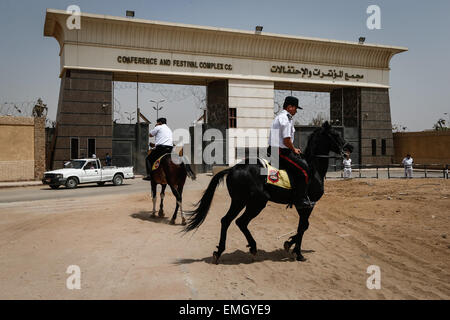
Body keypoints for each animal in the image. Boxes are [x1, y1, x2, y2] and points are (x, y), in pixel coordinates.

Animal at [185, 121, 354, 264]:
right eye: (335, 134)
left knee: (226, 221)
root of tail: (233, 168)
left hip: (239, 201)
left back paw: (220, 252)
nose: (350, 147)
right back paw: (252, 248)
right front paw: (298, 253)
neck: (313, 167)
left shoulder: (302, 206)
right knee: (240, 222)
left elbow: (303, 226)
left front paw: (289, 244)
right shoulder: (307, 204)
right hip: (257, 202)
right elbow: (303, 226)